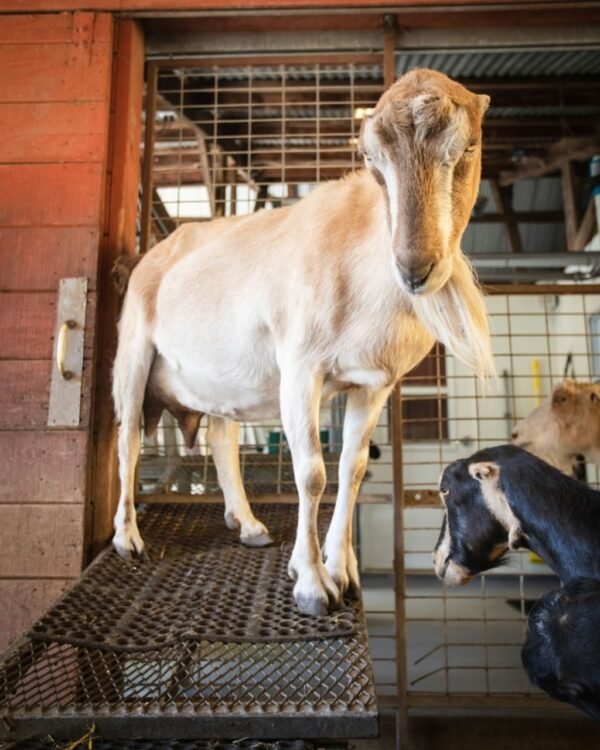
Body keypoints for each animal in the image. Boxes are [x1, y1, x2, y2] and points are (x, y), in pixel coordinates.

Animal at [113, 68, 494, 615]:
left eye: (469, 146)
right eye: (370, 158)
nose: (415, 269)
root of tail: (154, 254)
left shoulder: (372, 385)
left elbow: (352, 469)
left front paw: (343, 572)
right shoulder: (301, 370)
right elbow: (312, 473)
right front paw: (313, 587)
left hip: (221, 382)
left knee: (221, 437)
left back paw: (249, 526)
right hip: (134, 351)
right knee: (127, 437)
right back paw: (128, 539)